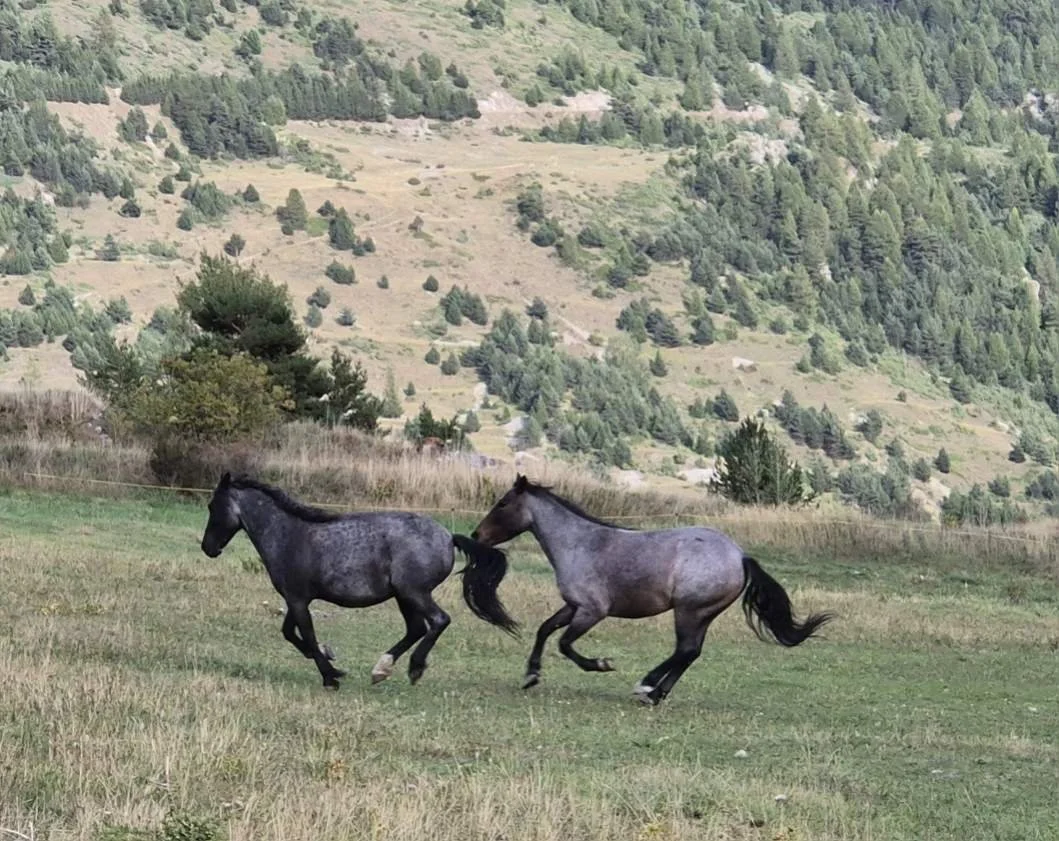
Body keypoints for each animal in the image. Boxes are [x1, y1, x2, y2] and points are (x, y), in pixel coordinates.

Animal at [198, 472, 519, 689]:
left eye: (213, 506)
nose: (208, 548)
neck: (288, 534)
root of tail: (448, 537)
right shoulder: (296, 598)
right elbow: (290, 632)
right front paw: (329, 658)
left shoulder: (298, 599)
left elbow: (305, 634)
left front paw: (331, 676)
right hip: (404, 596)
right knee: (416, 628)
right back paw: (381, 670)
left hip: (414, 592)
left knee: (439, 621)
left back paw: (413, 669)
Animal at [470, 475, 834, 705]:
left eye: (502, 503)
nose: (476, 535)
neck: (580, 544)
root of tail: (740, 556)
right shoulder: (573, 606)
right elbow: (545, 630)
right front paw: (531, 675)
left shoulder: (592, 611)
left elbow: (565, 644)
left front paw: (601, 664)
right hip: (702, 614)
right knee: (690, 652)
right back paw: (655, 694)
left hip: (689, 611)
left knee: (685, 650)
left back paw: (646, 685)